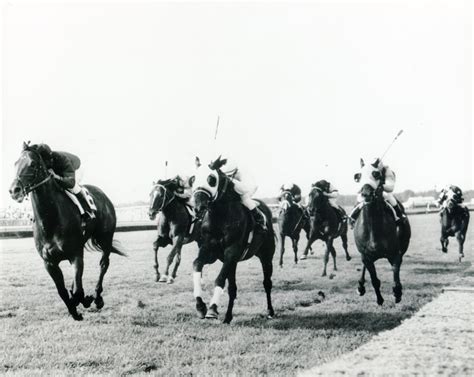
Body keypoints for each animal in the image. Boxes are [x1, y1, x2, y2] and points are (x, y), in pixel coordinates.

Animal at [9, 142, 126, 318]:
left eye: (33, 164)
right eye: (16, 163)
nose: (14, 190)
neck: (51, 220)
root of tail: (104, 196)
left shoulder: (75, 255)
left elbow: (78, 291)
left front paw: (84, 300)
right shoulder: (49, 263)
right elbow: (63, 291)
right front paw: (74, 309)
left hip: (105, 238)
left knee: (103, 264)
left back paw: (97, 297)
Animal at [191, 158, 276, 324]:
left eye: (211, 179)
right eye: (193, 179)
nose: (198, 207)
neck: (220, 216)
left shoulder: (232, 251)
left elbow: (219, 279)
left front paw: (212, 309)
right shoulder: (210, 251)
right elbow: (197, 264)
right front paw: (200, 306)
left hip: (266, 256)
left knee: (267, 283)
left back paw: (270, 311)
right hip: (234, 262)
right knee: (232, 288)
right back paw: (228, 317)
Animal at [356, 173, 412, 306]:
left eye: (376, 175)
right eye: (360, 177)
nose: (367, 194)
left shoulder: (396, 253)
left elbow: (395, 269)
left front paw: (397, 292)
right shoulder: (365, 255)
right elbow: (374, 279)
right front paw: (379, 299)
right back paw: (360, 286)